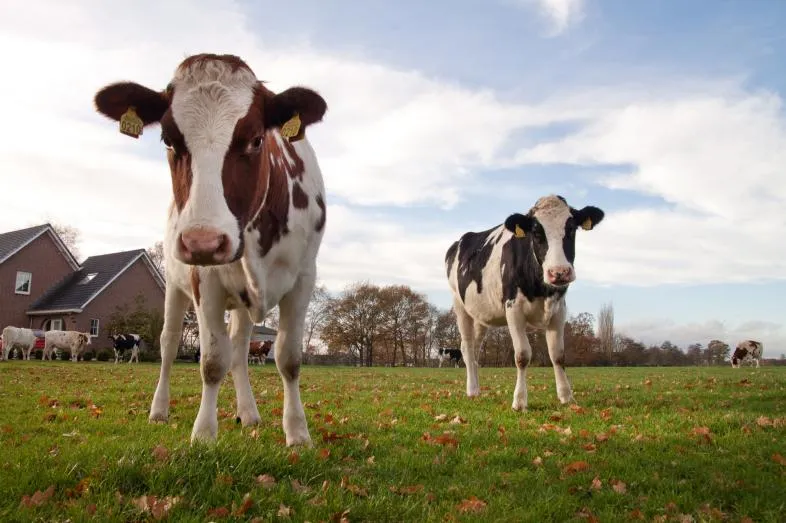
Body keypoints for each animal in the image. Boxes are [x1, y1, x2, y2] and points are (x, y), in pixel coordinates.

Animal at [94, 53, 328, 445]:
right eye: (168, 139)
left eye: (256, 139)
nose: (203, 241)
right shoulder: (203, 280)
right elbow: (212, 361)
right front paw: (204, 434)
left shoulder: (303, 278)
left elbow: (288, 359)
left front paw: (297, 433)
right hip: (175, 288)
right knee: (169, 344)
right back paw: (159, 410)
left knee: (240, 348)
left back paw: (249, 414)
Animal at [445, 194, 604, 411]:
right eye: (536, 232)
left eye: (571, 229)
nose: (559, 272)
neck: (541, 290)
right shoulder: (513, 308)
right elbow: (522, 355)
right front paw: (519, 401)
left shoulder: (559, 309)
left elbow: (558, 354)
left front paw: (566, 397)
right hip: (460, 305)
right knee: (467, 347)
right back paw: (472, 391)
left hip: (480, 315)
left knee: (474, 349)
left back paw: (476, 387)